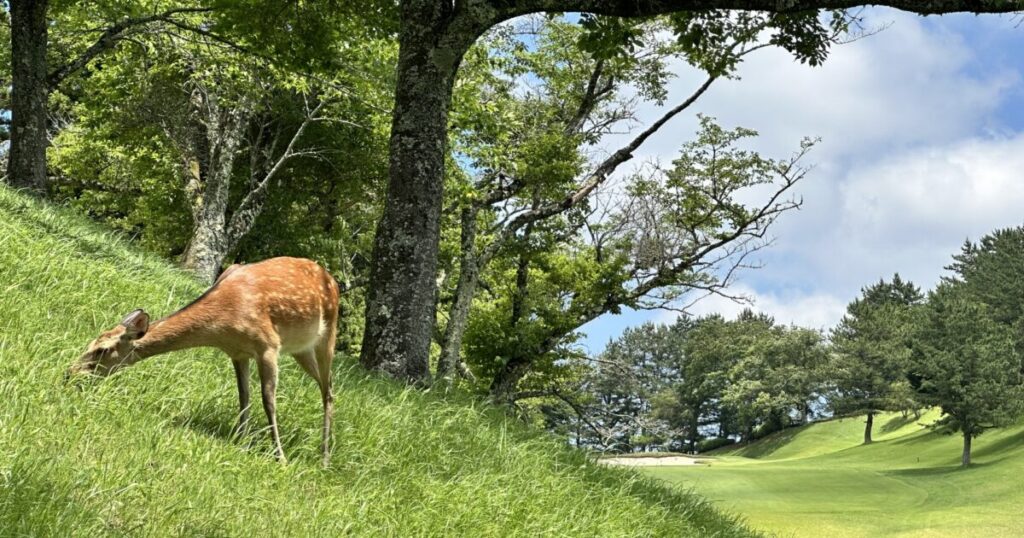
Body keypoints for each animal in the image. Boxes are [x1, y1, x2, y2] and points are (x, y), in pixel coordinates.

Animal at [66, 256, 340, 466]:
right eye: (92, 341)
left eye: (102, 350)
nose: (70, 373)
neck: (224, 323)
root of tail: (332, 279)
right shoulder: (238, 353)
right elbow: (244, 398)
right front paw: (240, 442)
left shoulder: (268, 346)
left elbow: (268, 401)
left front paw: (279, 458)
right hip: (300, 350)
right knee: (326, 388)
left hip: (327, 336)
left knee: (328, 389)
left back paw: (325, 457)